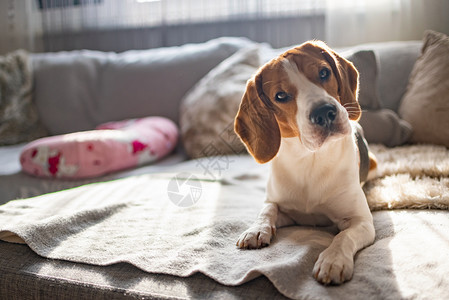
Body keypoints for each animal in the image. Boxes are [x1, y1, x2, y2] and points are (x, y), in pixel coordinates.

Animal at [233, 40, 376, 286]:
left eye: (324, 72)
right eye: (280, 95)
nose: (324, 112)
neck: (310, 159)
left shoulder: (361, 222)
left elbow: (343, 236)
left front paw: (333, 260)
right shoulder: (282, 207)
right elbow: (267, 210)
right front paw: (256, 229)